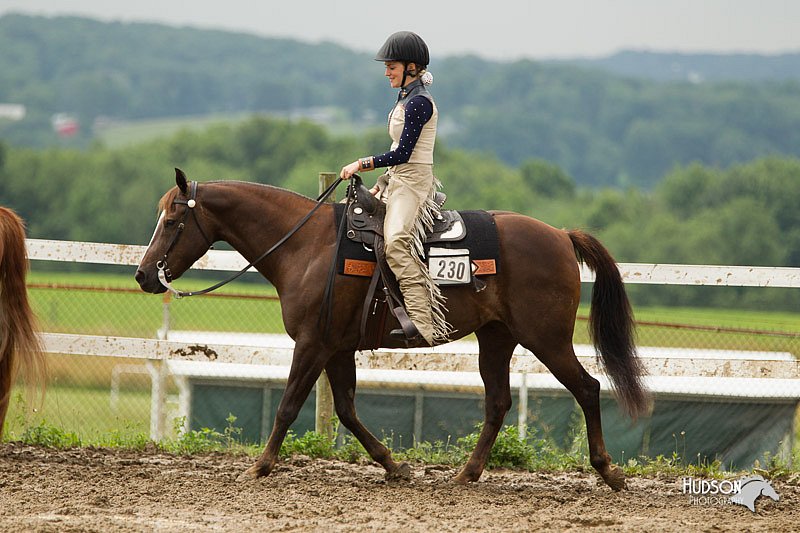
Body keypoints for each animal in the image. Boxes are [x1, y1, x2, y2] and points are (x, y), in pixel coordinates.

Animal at [134, 170, 648, 490]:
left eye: (173, 220)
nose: (143, 275)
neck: (307, 246)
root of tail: (561, 235)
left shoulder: (312, 345)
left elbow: (287, 407)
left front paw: (259, 467)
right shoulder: (337, 348)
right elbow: (346, 410)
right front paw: (394, 466)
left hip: (547, 338)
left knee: (587, 387)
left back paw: (608, 472)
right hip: (497, 338)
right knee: (498, 403)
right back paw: (466, 474)